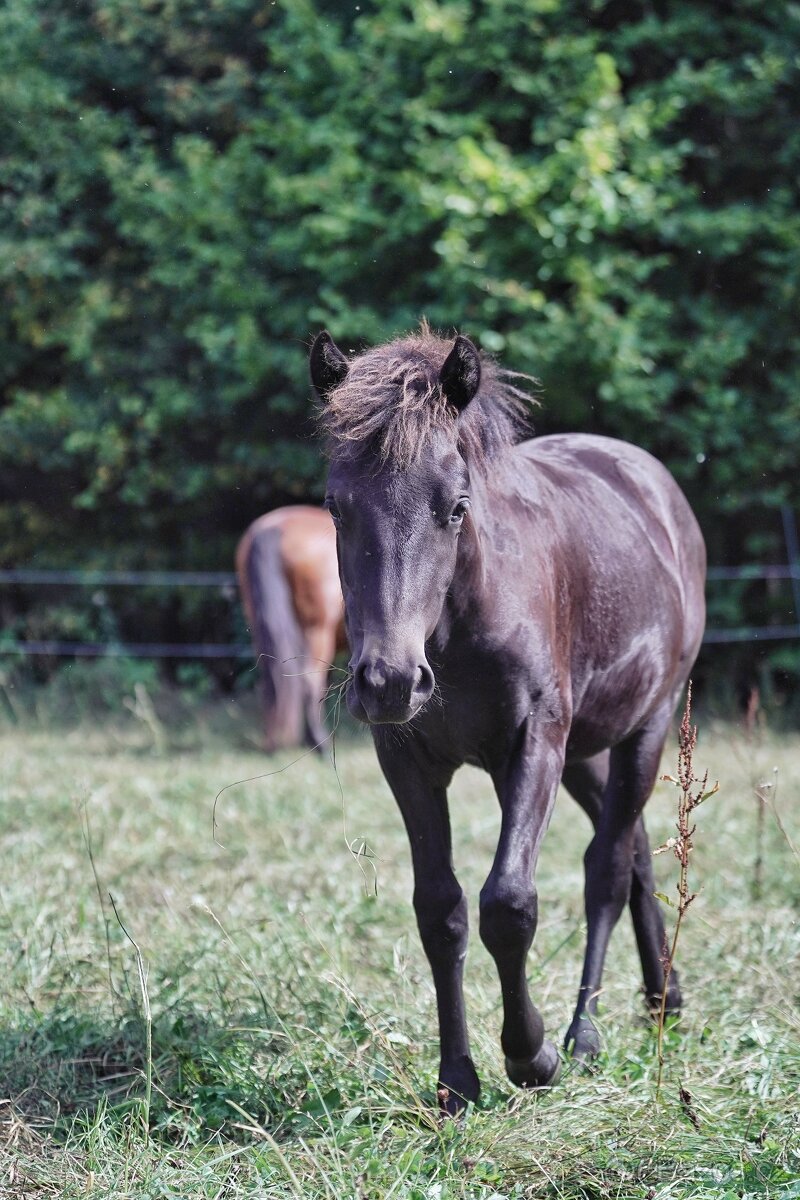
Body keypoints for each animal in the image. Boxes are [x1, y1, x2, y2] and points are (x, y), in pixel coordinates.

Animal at [311, 328, 705, 1113]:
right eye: (337, 508)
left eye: (456, 505)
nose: (390, 682)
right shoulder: (409, 761)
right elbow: (441, 910)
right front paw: (455, 1079)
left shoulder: (532, 745)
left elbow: (510, 903)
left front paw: (532, 1054)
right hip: (585, 755)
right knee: (637, 853)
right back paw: (661, 997)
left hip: (643, 729)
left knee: (608, 867)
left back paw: (587, 1032)